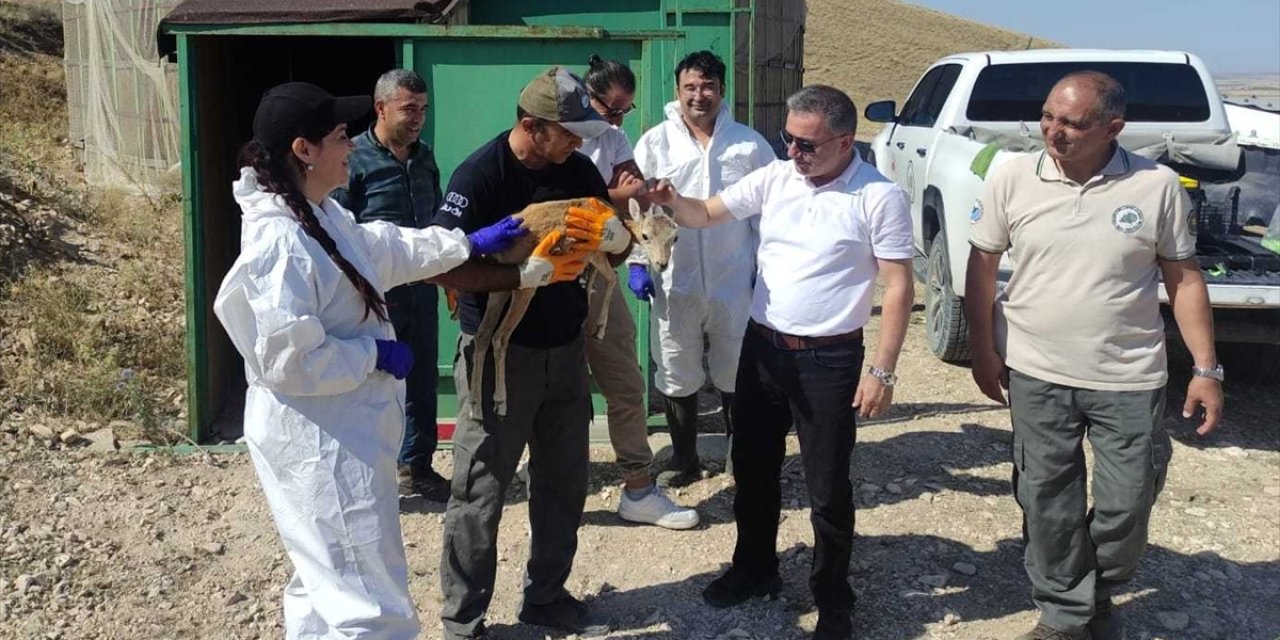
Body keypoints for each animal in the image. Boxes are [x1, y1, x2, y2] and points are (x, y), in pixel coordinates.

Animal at [473, 197, 680, 417]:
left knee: (482, 335)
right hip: (525, 287)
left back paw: (475, 407)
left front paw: (588, 300)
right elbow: (612, 278)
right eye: (646, 235)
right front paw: (599, 330)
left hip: (499, 291)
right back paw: (500, 402)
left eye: (674, 238)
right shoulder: (595, 254)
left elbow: (595, 281)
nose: (661, 264)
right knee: (500, 337)